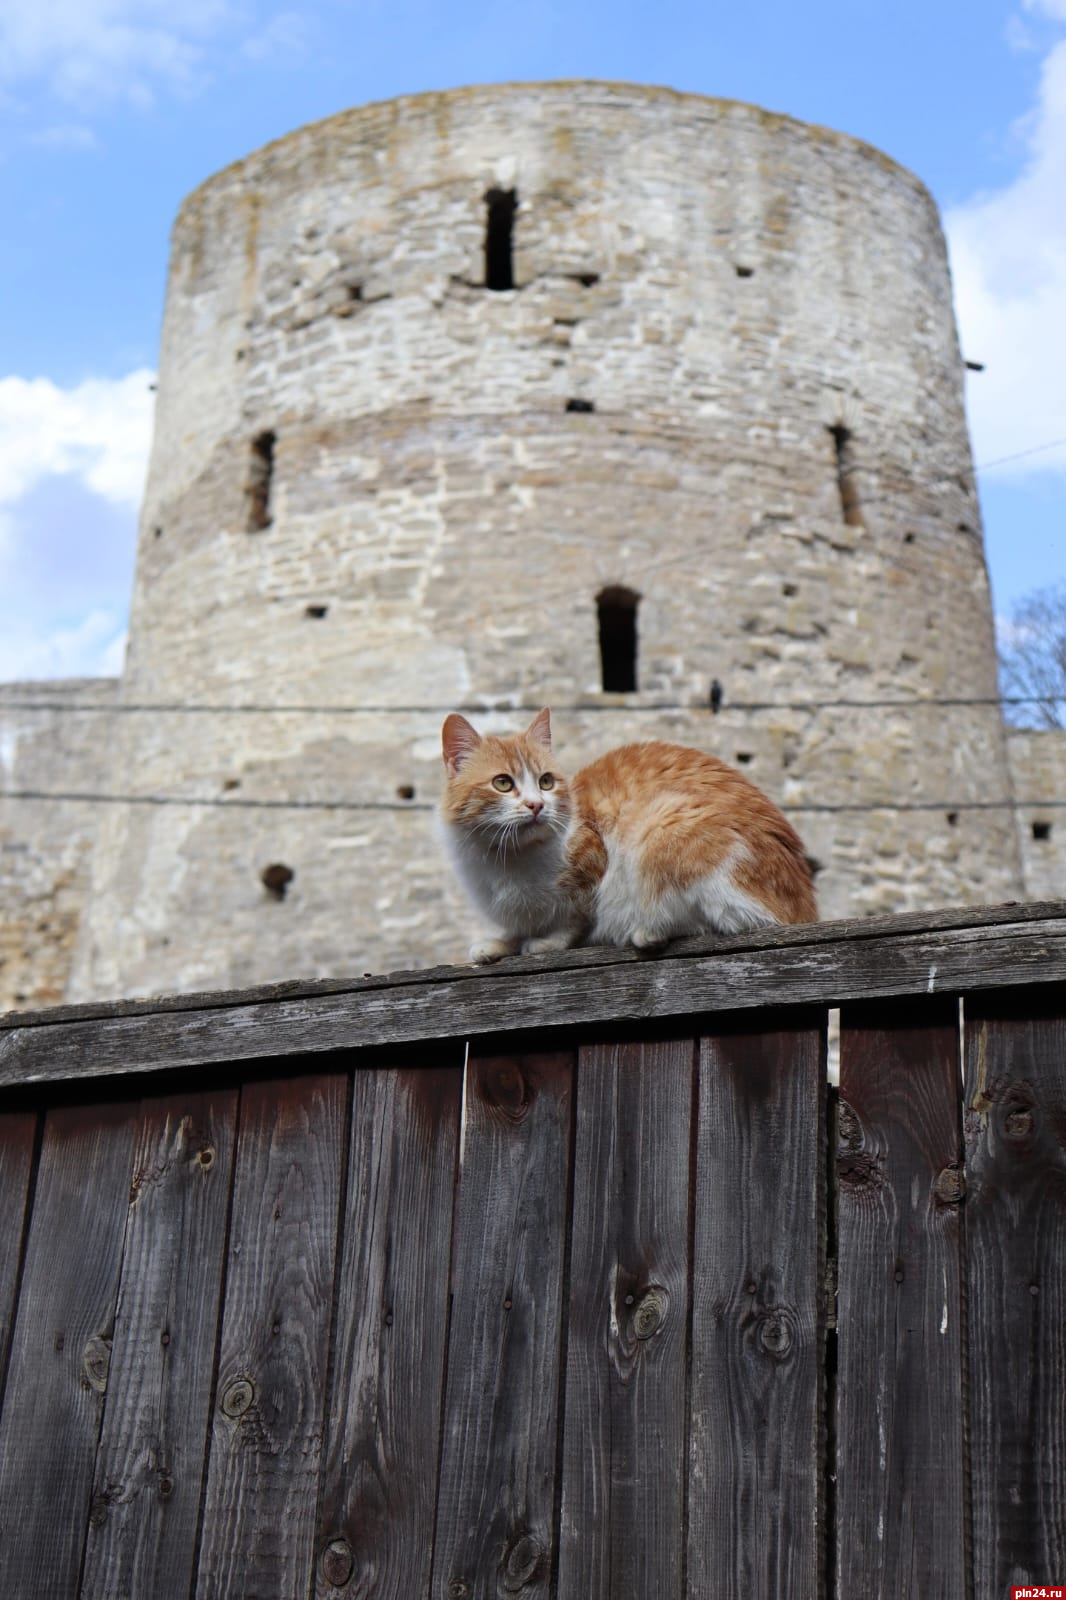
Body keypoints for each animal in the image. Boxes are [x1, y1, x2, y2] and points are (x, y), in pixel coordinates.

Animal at [438, 713, 813, 960]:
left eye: (546, 781)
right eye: (503, 783)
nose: (536, 805)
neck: (508, 857)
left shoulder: (592, 865)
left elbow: (574, 919)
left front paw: (546, 943)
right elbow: (518, 927)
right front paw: (498, 945)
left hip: (663, 828)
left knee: (717, 922)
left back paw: (649, 932)